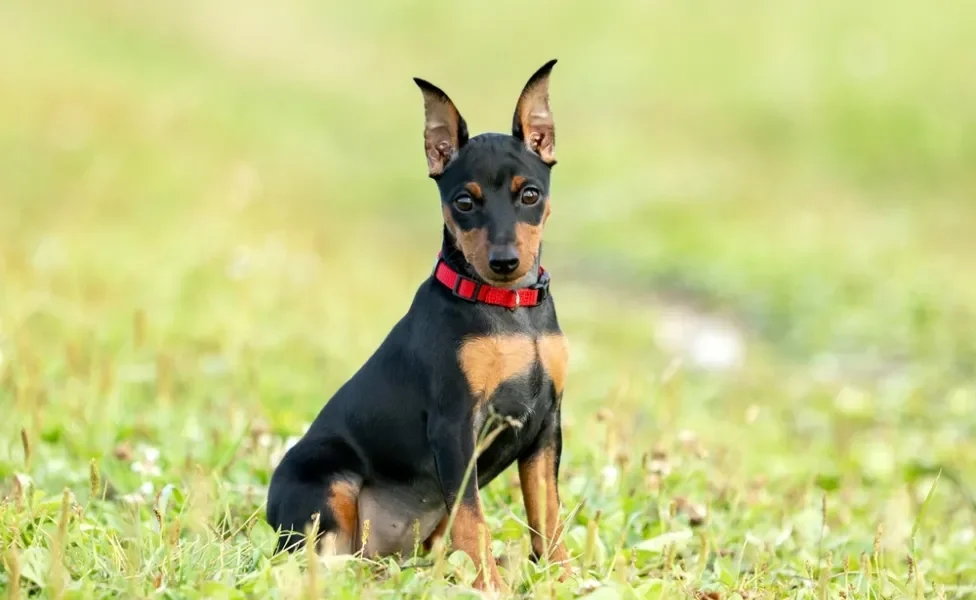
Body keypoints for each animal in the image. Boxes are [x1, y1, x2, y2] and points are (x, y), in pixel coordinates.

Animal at [266, 58, 572, 592]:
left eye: (530, 195)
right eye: (464, 202)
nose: (505, 262)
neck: (510, 310)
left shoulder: (545, 427)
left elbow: (548, 516)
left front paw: (566, 577)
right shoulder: (454, 426)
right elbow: (473, 518)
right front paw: (490, 587)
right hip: (329, 485)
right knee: (324, 555)